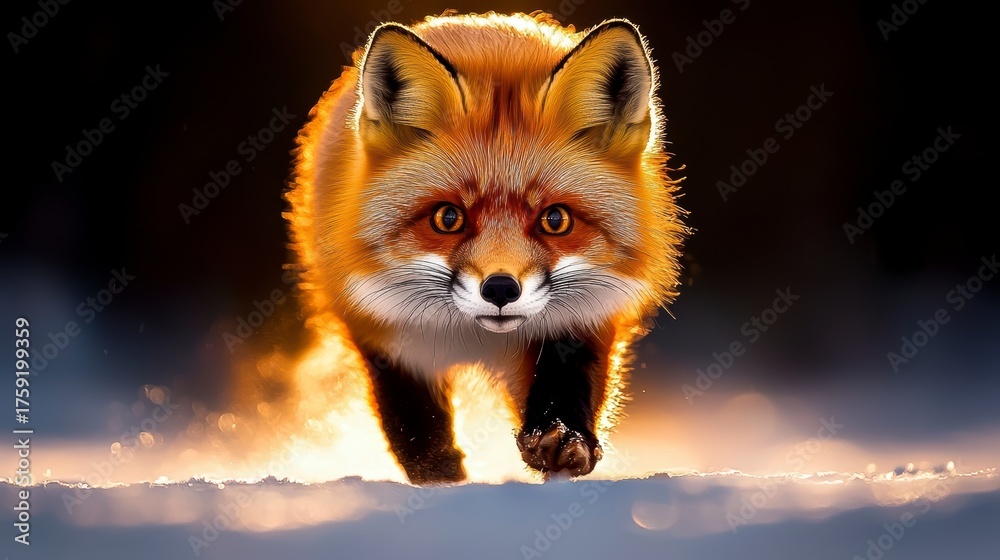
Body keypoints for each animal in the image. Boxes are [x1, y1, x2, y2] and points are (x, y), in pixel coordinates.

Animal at [285, 11, 686, 483]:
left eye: (555, 220)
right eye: (448, 218)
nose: (499, 289)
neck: (472, 334)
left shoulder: (585, 316)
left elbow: (569, 384)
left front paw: (563, 439)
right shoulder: (382, 331)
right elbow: (413, 422)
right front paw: (439, 478)